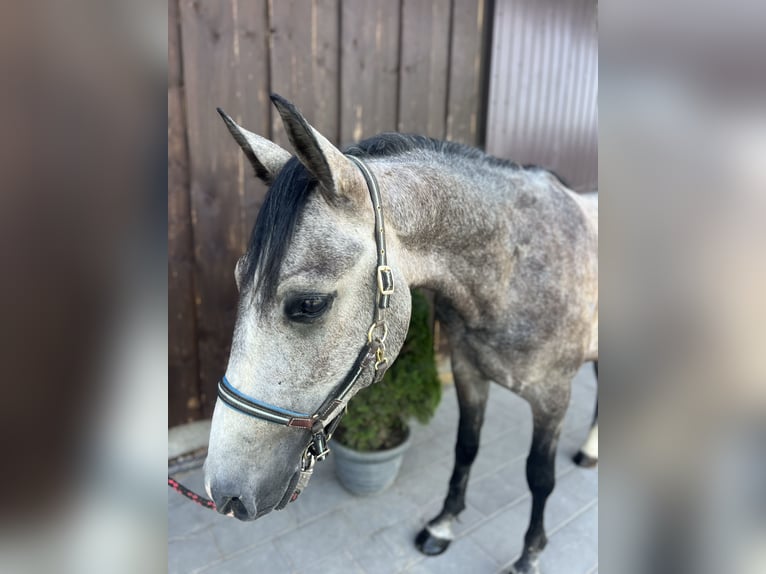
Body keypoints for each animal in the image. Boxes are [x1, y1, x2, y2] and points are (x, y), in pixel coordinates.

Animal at [203, 94, 598, 574]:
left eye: (309, 304)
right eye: (238, 278)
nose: (224, 493)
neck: (514, 267)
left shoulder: (553, 397)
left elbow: (539, 476)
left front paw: (529, 555)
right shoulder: (469, 373)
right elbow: (466, 447)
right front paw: (443, 525)